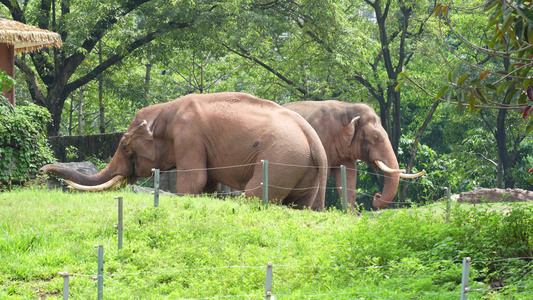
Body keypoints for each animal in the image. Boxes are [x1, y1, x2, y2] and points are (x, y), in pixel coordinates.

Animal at [39, 92, 326, 210]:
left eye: (124, 146)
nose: (42, 170)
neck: (165, 108)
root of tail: (315, 140)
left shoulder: (189, 135)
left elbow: (194, 182)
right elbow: (207, 184)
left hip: (280, 160)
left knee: (255, 195)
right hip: (303, 171)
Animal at [282, 99, 424, 210]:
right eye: (375, 137)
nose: (377, 195)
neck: (347, 108)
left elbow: (350, 173)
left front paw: (352, 214)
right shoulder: (320, 136)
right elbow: (325, 171)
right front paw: (317, 210)